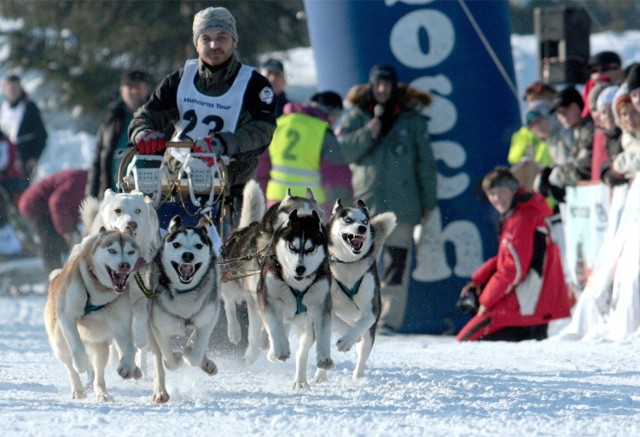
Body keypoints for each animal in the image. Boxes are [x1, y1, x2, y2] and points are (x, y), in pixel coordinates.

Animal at [221, 182, 324, 362]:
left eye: (315, 214)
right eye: (295, 213)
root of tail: (242, 228)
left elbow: (281, 325)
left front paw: (271, 347)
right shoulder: (255, 296)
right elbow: (255, 330)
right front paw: (252, 353)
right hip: (231, 281)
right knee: (229, 303)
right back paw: (234, 331)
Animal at [256, 208, 332, 388]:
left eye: (311, 249)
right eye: (292, 246)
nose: (300, 269)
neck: (297, 285)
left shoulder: (321, 306)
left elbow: (323, 333)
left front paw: (324, 358)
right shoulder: (268, 300)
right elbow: (274, 326)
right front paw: (280, 349)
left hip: (307, 325)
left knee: (301, 353)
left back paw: (300, 381)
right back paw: (274, 352)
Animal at [314, 199, 396, 380]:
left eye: (365, 221)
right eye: (348, 220)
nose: (362, 228)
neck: (348, 263)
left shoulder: (373, 308)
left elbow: (364, 322)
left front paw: (348, 340)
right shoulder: (325, 304)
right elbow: (337, 320)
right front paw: (347, 336)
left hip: (369, 334)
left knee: (362, 352)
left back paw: (357, 377)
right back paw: (320, 375)